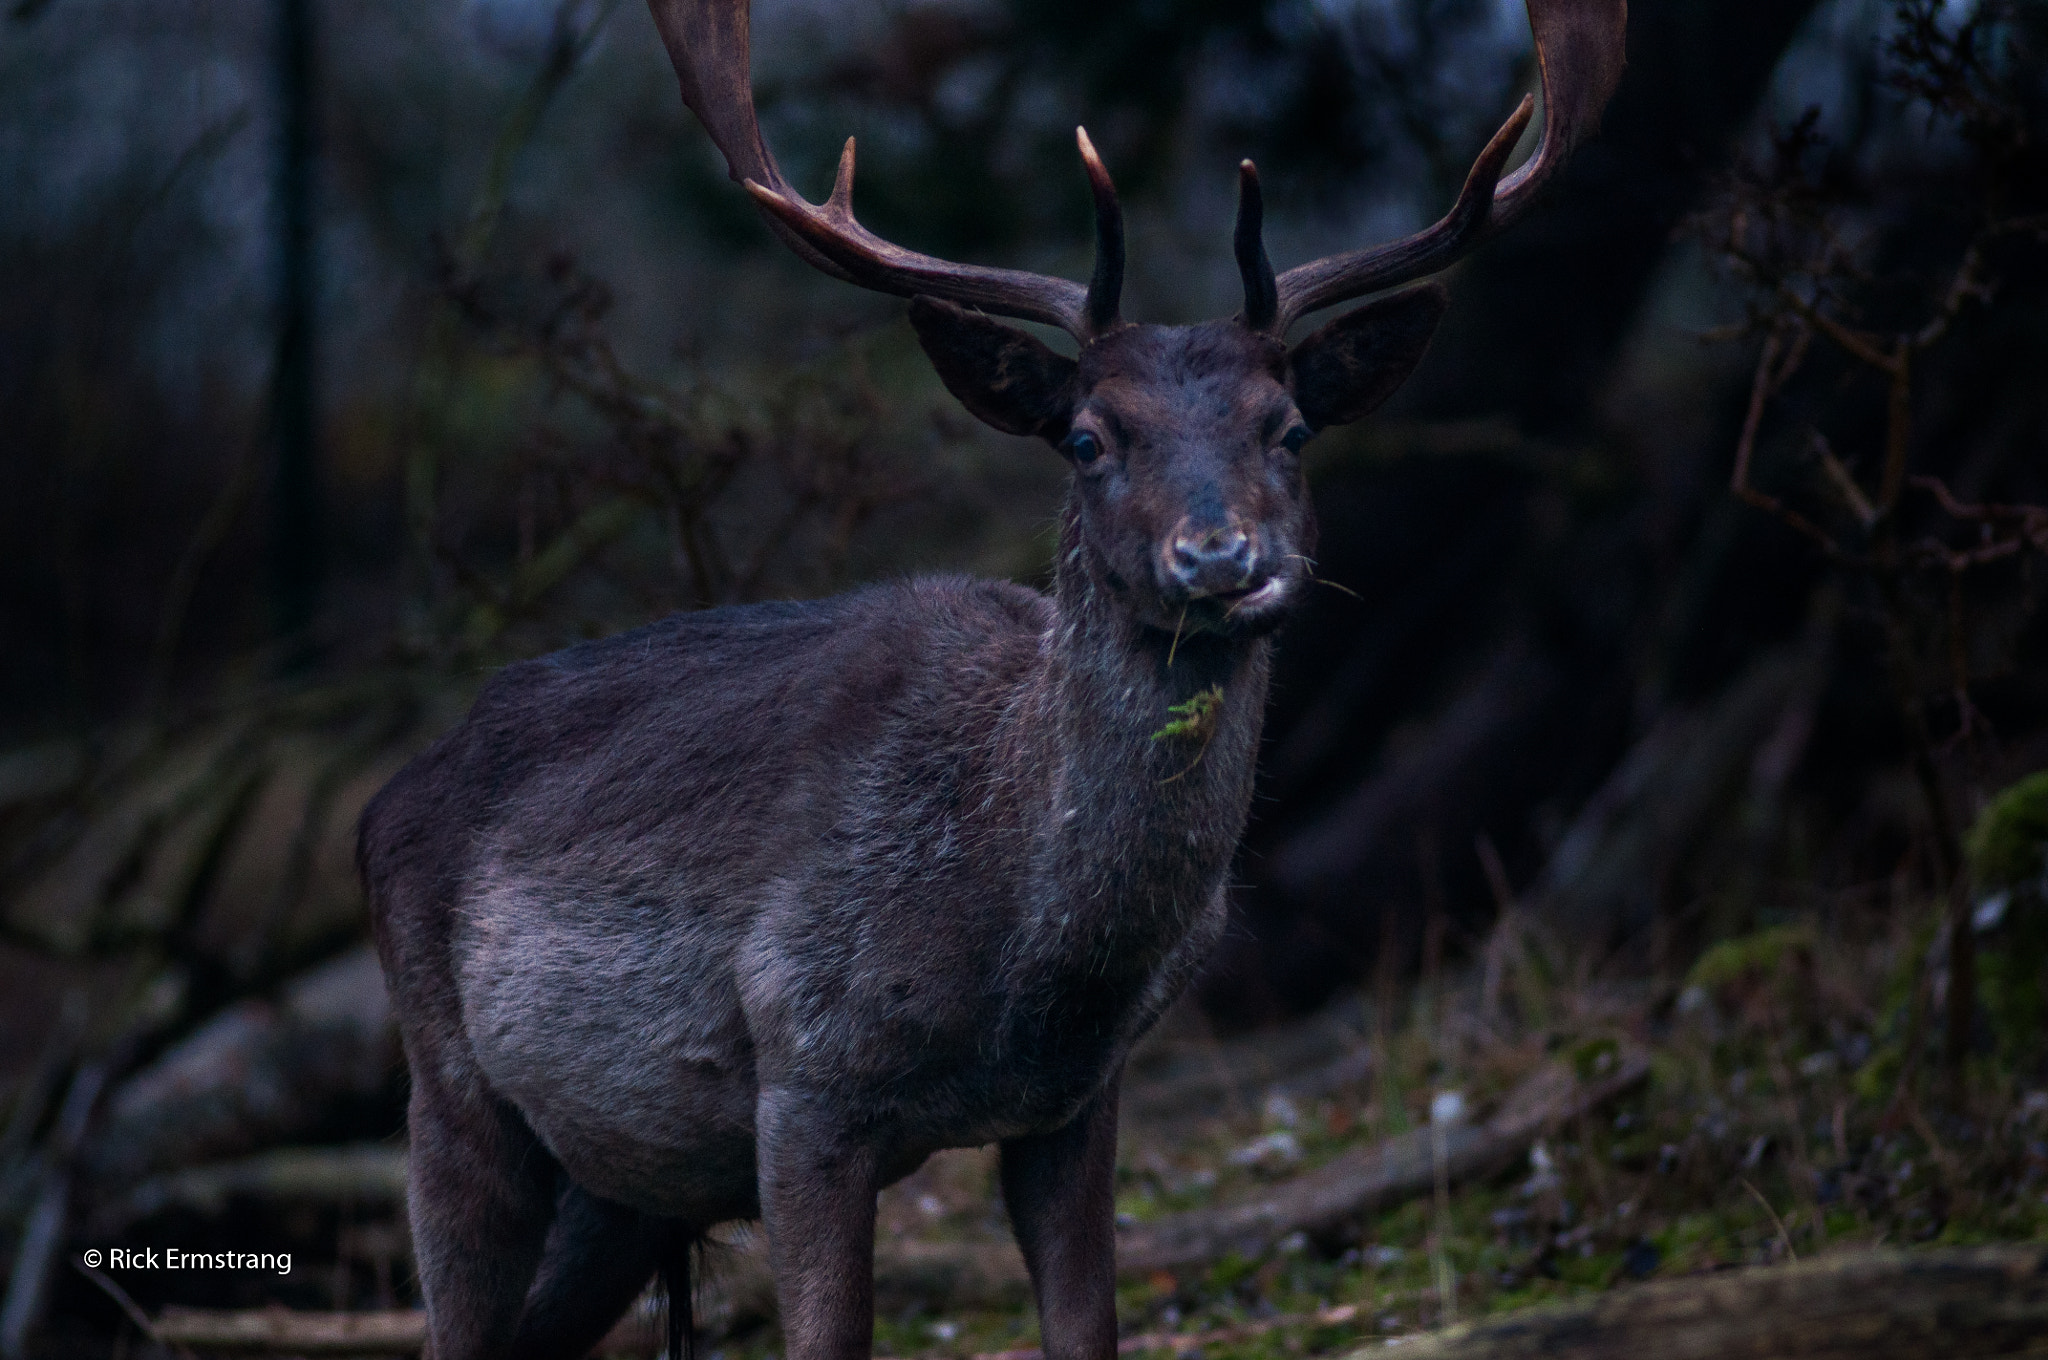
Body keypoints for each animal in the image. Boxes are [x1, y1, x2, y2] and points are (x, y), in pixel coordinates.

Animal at [360, 2, 1622, 1360]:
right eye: (1086, 437)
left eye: (1287, 429)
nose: (1220, 556)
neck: (1028, 963)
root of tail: (377, 806)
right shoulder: (802, 1067)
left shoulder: (1079, 1098)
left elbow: (1087, 1326)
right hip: (448, 1090)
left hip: (626, 1186)